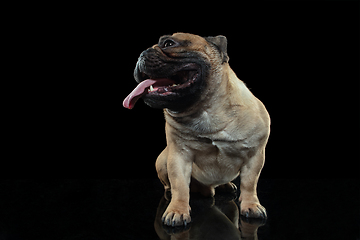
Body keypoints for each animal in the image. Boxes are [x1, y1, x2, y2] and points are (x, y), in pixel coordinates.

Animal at [124, 32, 270, 227]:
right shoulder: (179, 156)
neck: (207, 109)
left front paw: (251, 205)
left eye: (169, 43)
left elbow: (249, 183)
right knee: (171, 184)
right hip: (162, 160)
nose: (142, 53)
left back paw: (225, 186)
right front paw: (177, 210)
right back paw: (171, 192)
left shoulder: (254, 156)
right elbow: (179, 185)